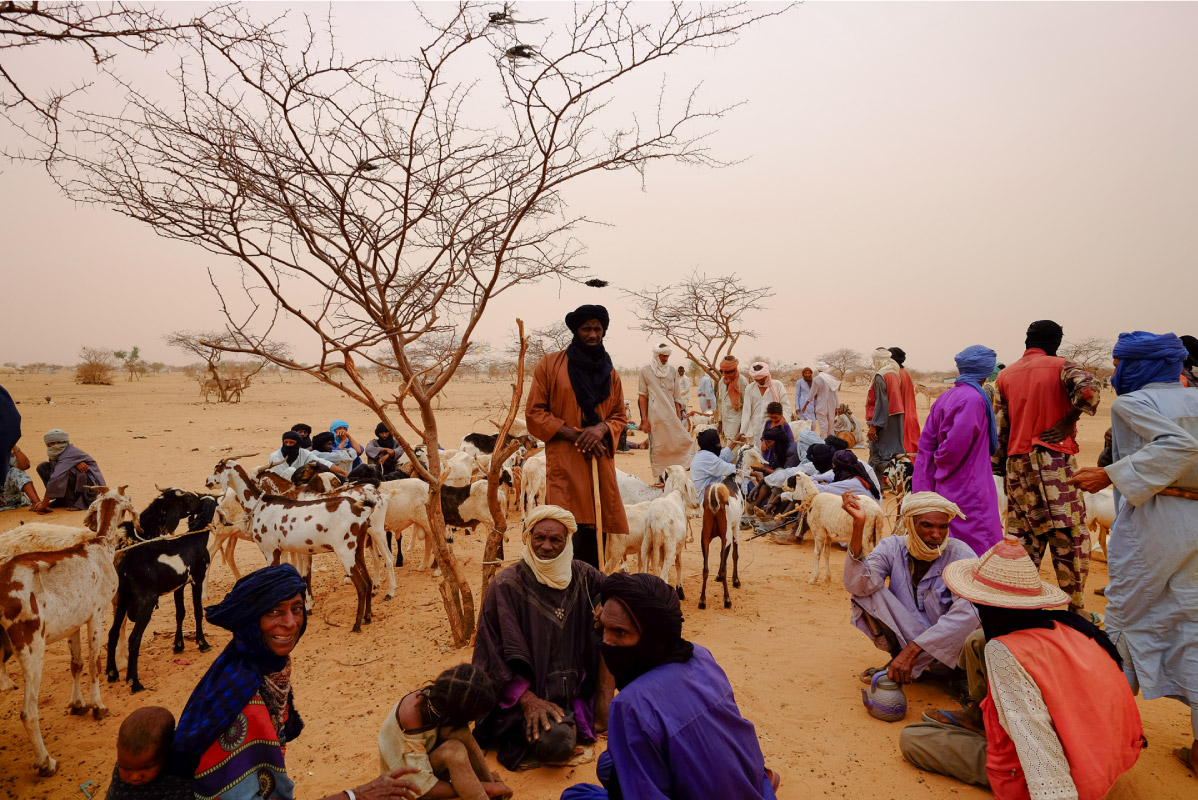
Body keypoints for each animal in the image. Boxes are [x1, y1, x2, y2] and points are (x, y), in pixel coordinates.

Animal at [203, 459, 376, 632]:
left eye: (216, 469)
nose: (207, 482)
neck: (260, 504)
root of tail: (360, 509)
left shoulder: (270, 551)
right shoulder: (285, 550)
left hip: (345, 552)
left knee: (361, 586)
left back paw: (357, 625)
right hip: (357, 550)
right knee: (368, 582)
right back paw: (368, 617)